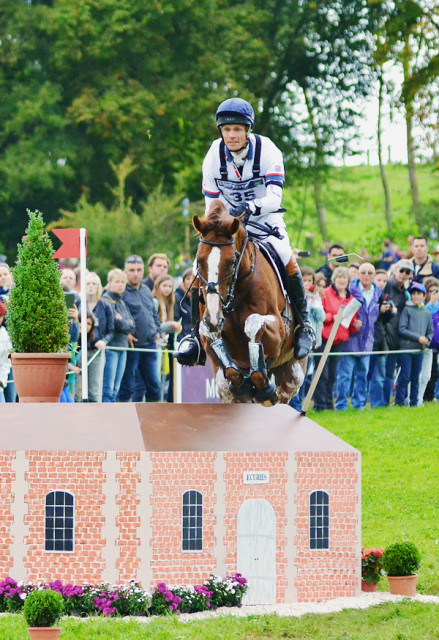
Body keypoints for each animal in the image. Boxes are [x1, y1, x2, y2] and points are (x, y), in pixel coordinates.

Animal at [192, 200, 306, 404]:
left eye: (231, 261)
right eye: (199, 261)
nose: (214, 318)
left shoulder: (278, 331)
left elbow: (253, 323)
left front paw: (265, 389)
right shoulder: (208, 333)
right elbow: (230, 371)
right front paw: (244, 385)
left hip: (292, 375)